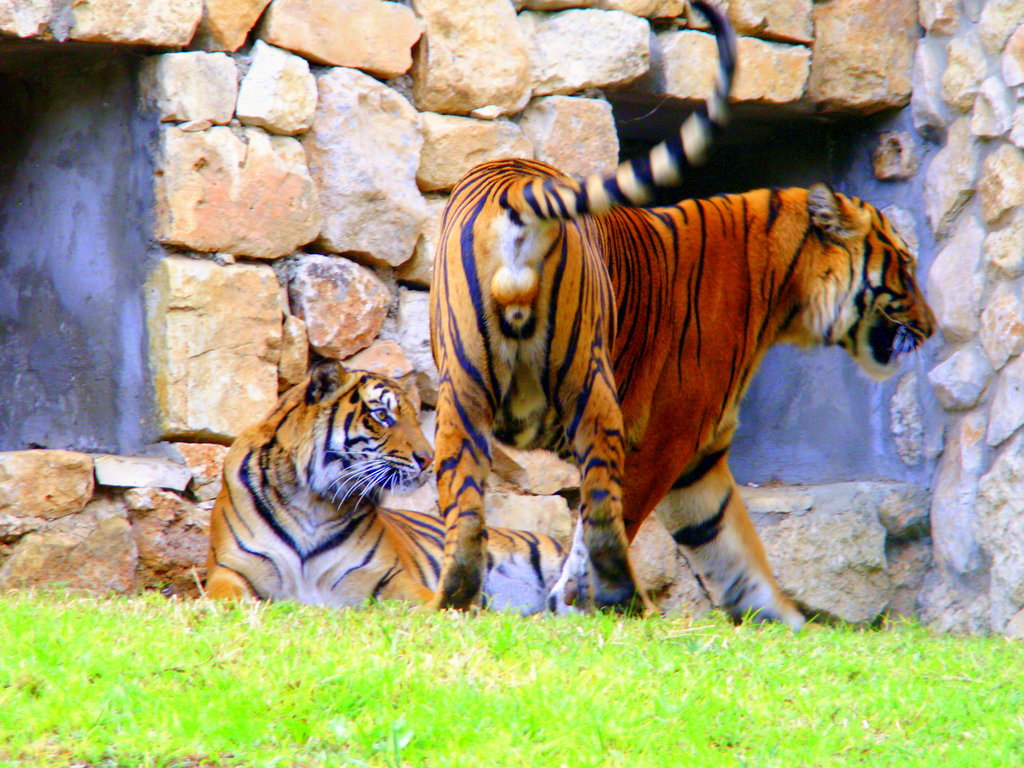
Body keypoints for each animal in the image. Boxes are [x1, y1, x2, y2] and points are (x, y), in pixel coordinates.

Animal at [205, 360, 566, 613]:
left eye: (414, 417)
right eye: (382, 416)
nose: (429, 458)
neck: (314, 503)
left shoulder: (389, 578)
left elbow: (425, 602)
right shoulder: (230, 570)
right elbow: (225, 599)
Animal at [428, 0, 934, 626]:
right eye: (905, 267)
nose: (932, 328)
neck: (785, 290)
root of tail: (516, 186)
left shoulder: (702, 462)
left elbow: (736, 551)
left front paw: (787, 624)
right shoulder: (670, 438)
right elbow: (609, 529)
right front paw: (571, 604)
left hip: (462, 400)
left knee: (466, 518)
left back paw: (453, 602)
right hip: (593, 392)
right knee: (603, 520)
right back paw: (625, 602)